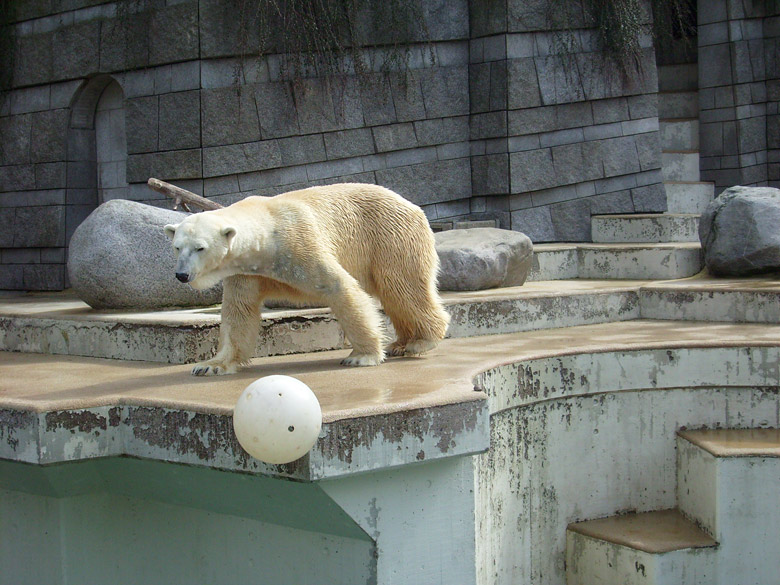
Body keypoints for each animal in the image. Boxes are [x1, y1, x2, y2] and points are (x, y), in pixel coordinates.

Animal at [165, 181, 450, 374]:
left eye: (200, 248)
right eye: (177, 247)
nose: (182, 275)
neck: (265, 234)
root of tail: (413, 206)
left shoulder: (298, 244)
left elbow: (341, 287)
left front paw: (361, 356)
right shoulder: (245, 271)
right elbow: (238, 311)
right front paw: (210, 365)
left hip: (391, 237)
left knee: (402, 287)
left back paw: (421, 342)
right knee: (396, 296)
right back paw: (400, 343)